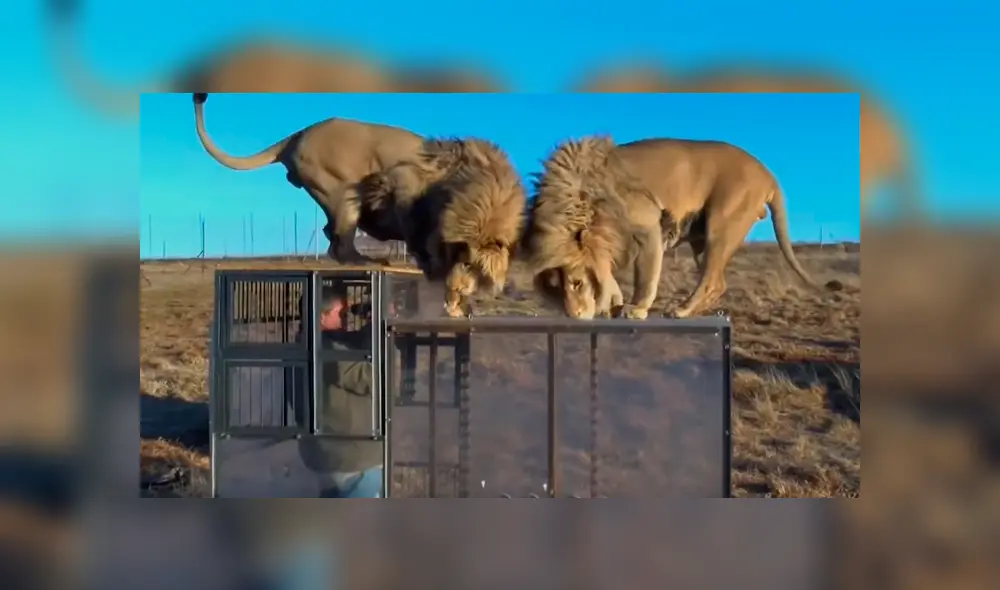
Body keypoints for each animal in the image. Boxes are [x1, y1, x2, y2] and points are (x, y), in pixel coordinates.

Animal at [526, 135, 843, 320]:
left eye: (576, 283)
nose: (574, 315)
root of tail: (768, 174)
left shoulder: (649, 226)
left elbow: (646, 276)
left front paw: (636, 308)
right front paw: (615, 303)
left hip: (721, 223)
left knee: (712, 279)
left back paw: (680, 310)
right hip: (701, 240)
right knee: (718, 281)